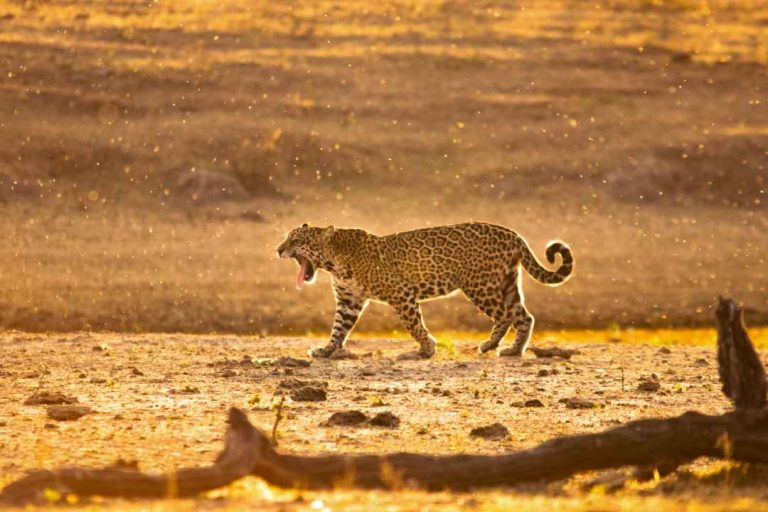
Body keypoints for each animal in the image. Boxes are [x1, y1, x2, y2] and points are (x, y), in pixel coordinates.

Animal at [276, 222, 574, 360]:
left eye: (297, 240)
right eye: (286, 238)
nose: (279, 250)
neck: (334, 261)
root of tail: (513, 234)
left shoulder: (401, 293)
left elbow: (413, 324)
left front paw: (426, 348)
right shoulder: (349, 300)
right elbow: (338, 328)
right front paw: (326, 350)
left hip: (480, 285)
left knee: (505, 316)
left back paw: (492, 345)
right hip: (507, 283)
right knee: (524, 316)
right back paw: (513, 349)